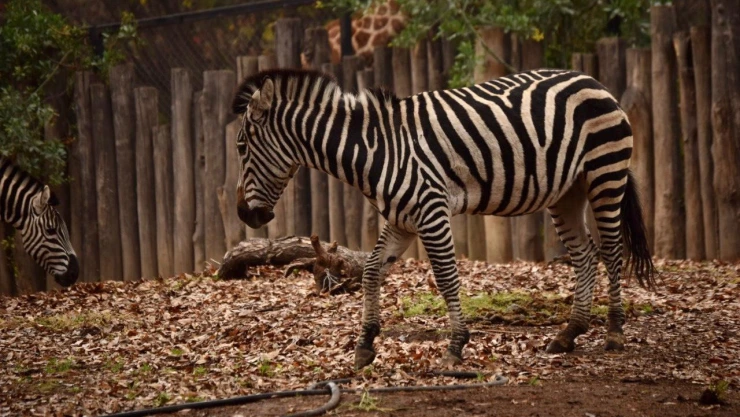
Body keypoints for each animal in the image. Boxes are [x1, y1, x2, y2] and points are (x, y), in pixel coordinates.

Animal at [231, 68, 655, 369]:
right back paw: (569, 334)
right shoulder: (402, 218)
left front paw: (455, 346)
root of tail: (592, 80)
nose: (244, 214)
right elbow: (370, 271)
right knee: (585, 255)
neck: (376, 150)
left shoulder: (431, 210)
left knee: (611, 252)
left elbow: (447, 278)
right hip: (567, 192)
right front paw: (365, 344)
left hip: (604, 173)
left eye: (240, 147)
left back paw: (614, 332)